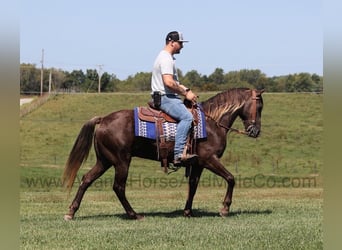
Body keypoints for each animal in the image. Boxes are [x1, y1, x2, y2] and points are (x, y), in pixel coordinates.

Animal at [62, 87, 264, 220]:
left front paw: (188, 212)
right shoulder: (209, 159)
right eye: (260, 106)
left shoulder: (197, 164)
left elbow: (193, 185)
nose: (255, 131)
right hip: (121, 161)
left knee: (86, 179)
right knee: (118, 187)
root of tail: (103, 119)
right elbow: (231, 178)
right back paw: (134, 214)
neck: (212, 123)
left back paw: (71, 212)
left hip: (104, 161)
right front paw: (225, 209)